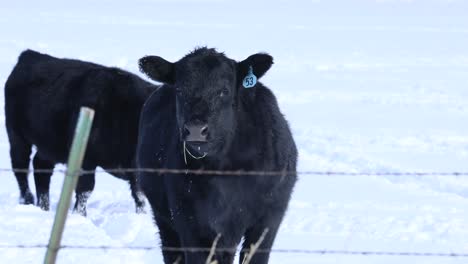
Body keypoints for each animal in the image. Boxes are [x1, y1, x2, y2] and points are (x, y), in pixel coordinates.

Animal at [4, 50, 155, 217]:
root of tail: (29, 55)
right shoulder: (86, 160)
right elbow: (85, 189)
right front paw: (79, 214)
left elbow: (139, 195)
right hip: (17, 136)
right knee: (20, 166)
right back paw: (27, 200)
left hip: (50, 146)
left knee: (41, 167)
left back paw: (44, 207)